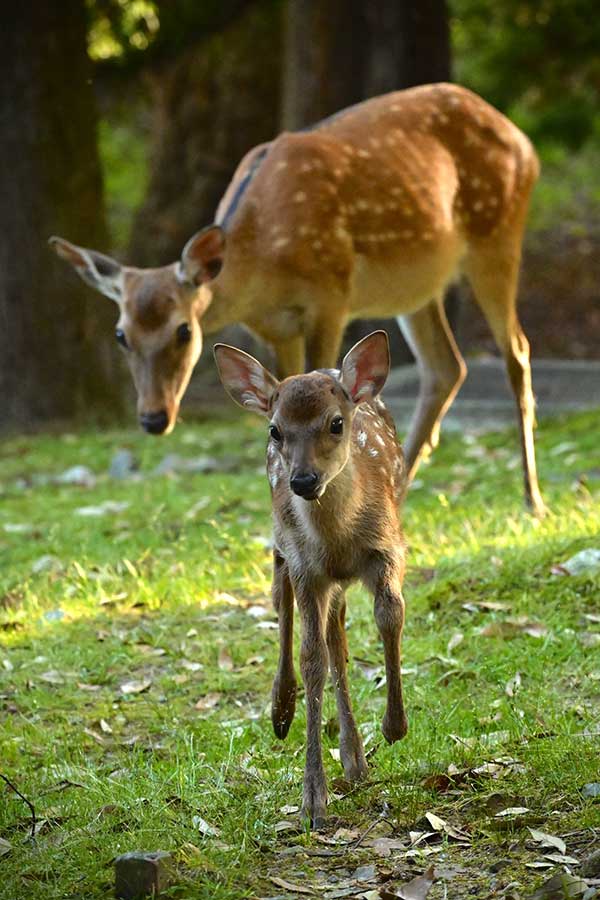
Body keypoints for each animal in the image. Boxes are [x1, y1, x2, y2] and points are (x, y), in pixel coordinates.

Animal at [50, 85, 544, 512]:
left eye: (184, 330)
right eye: (121, 335)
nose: (153, 418)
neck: (263, 263)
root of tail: (523, 140)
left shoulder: (331, 294)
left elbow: (328, 383)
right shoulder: (274, 326)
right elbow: (281, 395)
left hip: (497, 235)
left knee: (517, 352)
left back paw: (531, 498)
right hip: (416, 285)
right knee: (446, 366)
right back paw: (395, 494)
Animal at [213, 328, 406, 824]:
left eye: (336, 423)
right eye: (276, 430)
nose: (302, 480)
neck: (338, 541)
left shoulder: (388, 547)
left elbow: (389, 617)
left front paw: (394, 725)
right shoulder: (306, 565)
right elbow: (311, 658)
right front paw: (313, 798)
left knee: (338, 633)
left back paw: (355, 759)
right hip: (282, 542)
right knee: (282, 603)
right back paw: (282, 709)